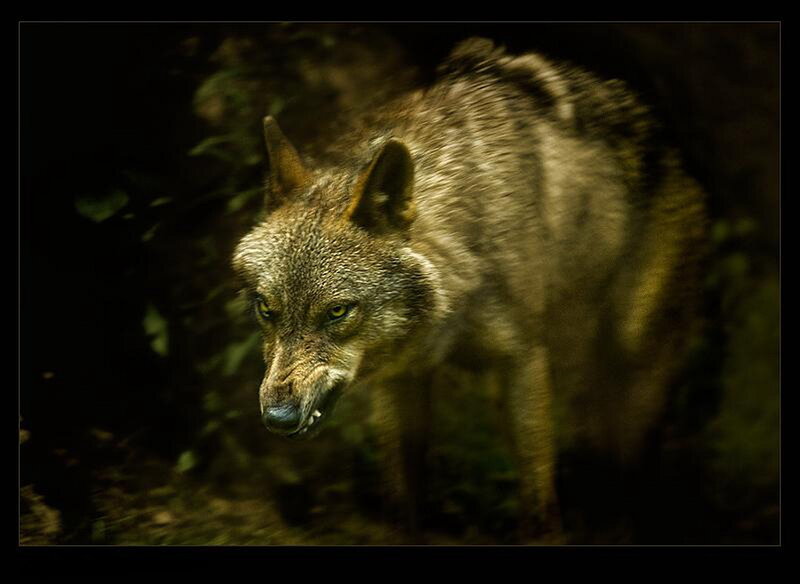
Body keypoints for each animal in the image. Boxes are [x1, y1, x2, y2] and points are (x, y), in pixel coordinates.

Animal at [232, 37, 706, 541]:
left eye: (337, 312)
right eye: (266, 309)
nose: (278, 418)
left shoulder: (523, 363)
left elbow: (539, 500)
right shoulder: (400, 381)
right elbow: (402, 503)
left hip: (632, 362)